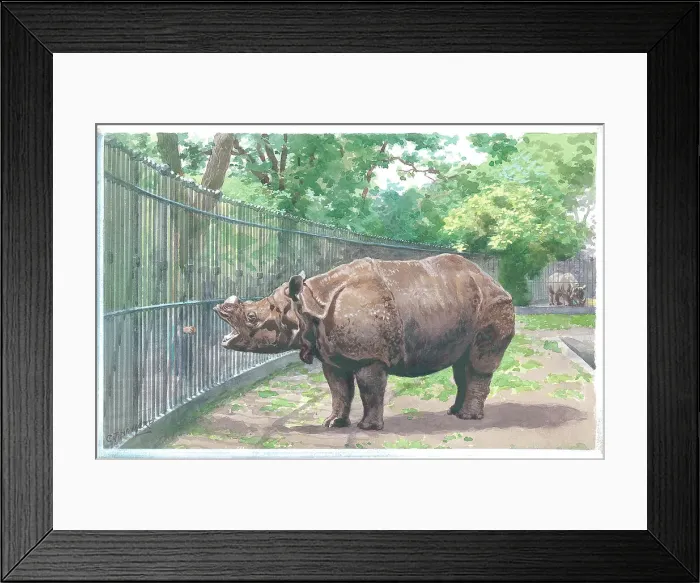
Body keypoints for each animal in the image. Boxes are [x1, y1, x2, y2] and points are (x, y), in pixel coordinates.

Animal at [214, 254, 515, 430]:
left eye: (252, 317)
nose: (219, 309)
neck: (306, 305)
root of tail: (493, 280)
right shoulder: (333, 356)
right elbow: (339, 390)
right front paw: (333, 423)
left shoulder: (369, 356)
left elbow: (370, 390)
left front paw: (367, 428)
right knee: (460, 366)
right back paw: (453, 412)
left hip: (493, 304)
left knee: (478, 364)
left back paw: (467, 419)